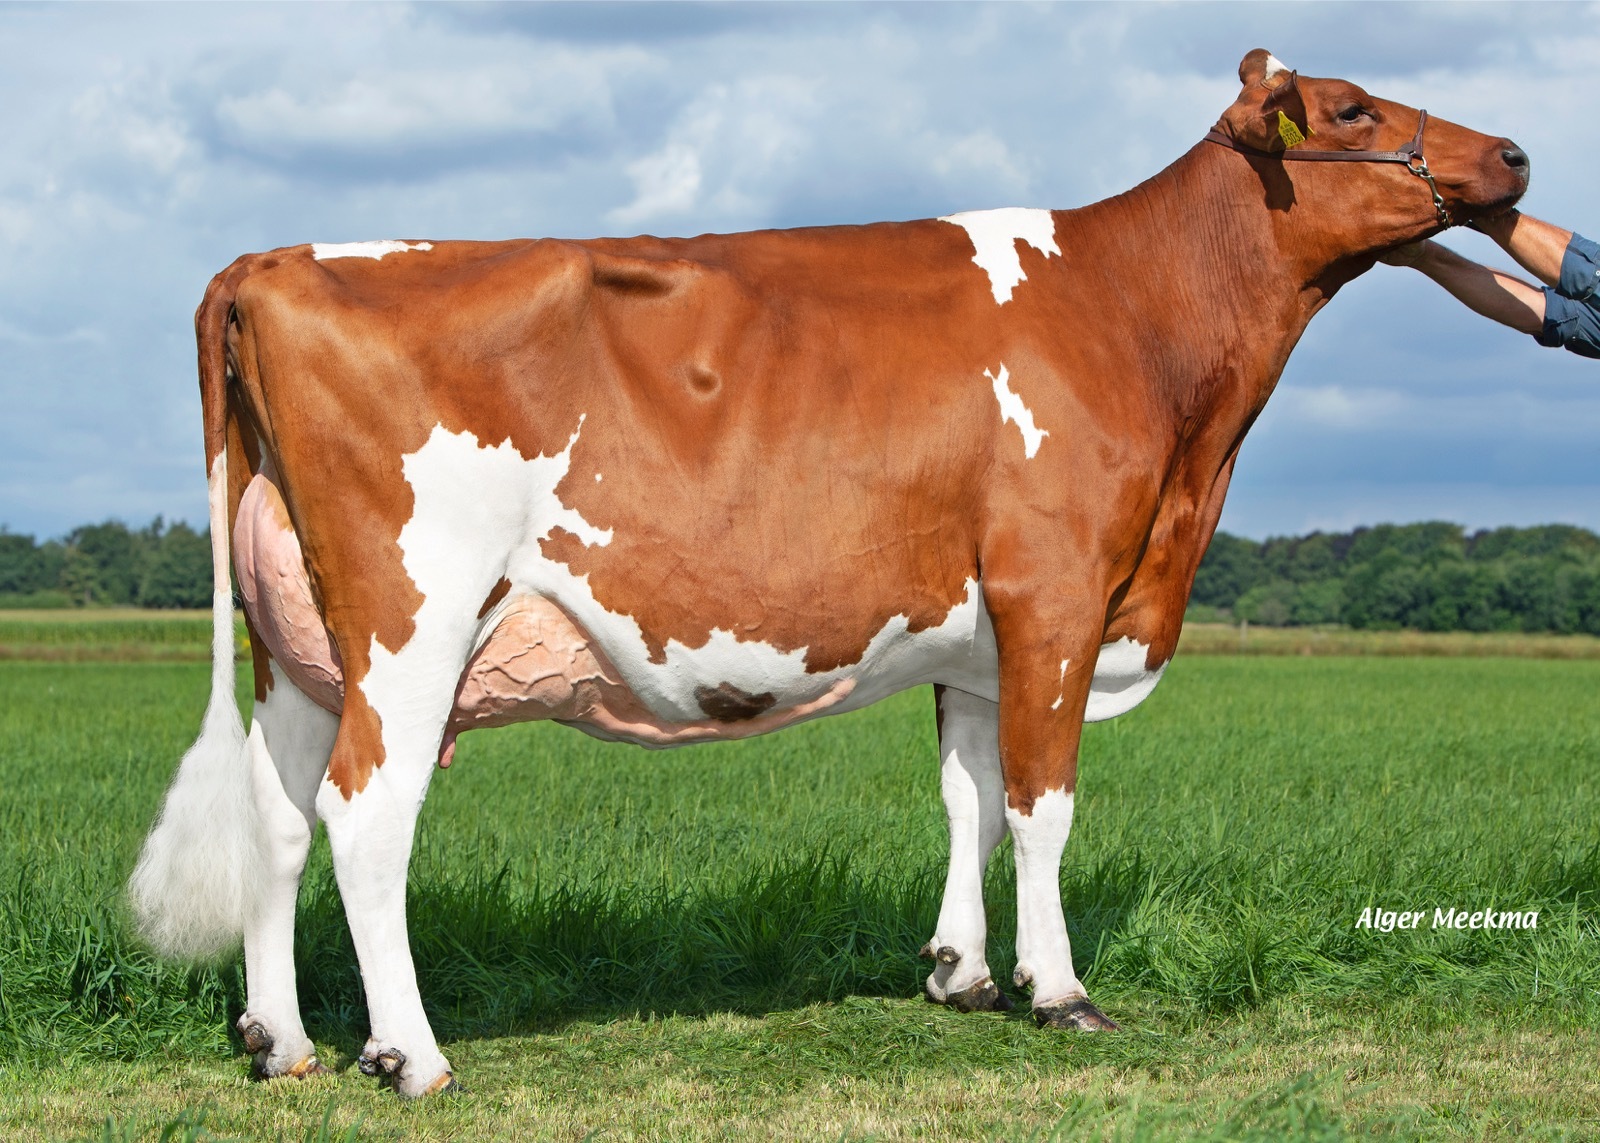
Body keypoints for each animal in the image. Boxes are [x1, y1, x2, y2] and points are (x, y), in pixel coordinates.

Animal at [131, 53, 1516, 1094]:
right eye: (1351, 109)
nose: (1510, 155)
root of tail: (272, 261)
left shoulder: (976, 629)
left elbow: (967, 793)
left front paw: (964, 973)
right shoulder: (1057, 593)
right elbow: (1042, 804)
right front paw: (1061, 992)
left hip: (300, 643)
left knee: (278, 814)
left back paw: (283, 1042)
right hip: (411, 619)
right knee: (367, 815)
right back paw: (410, 1057)